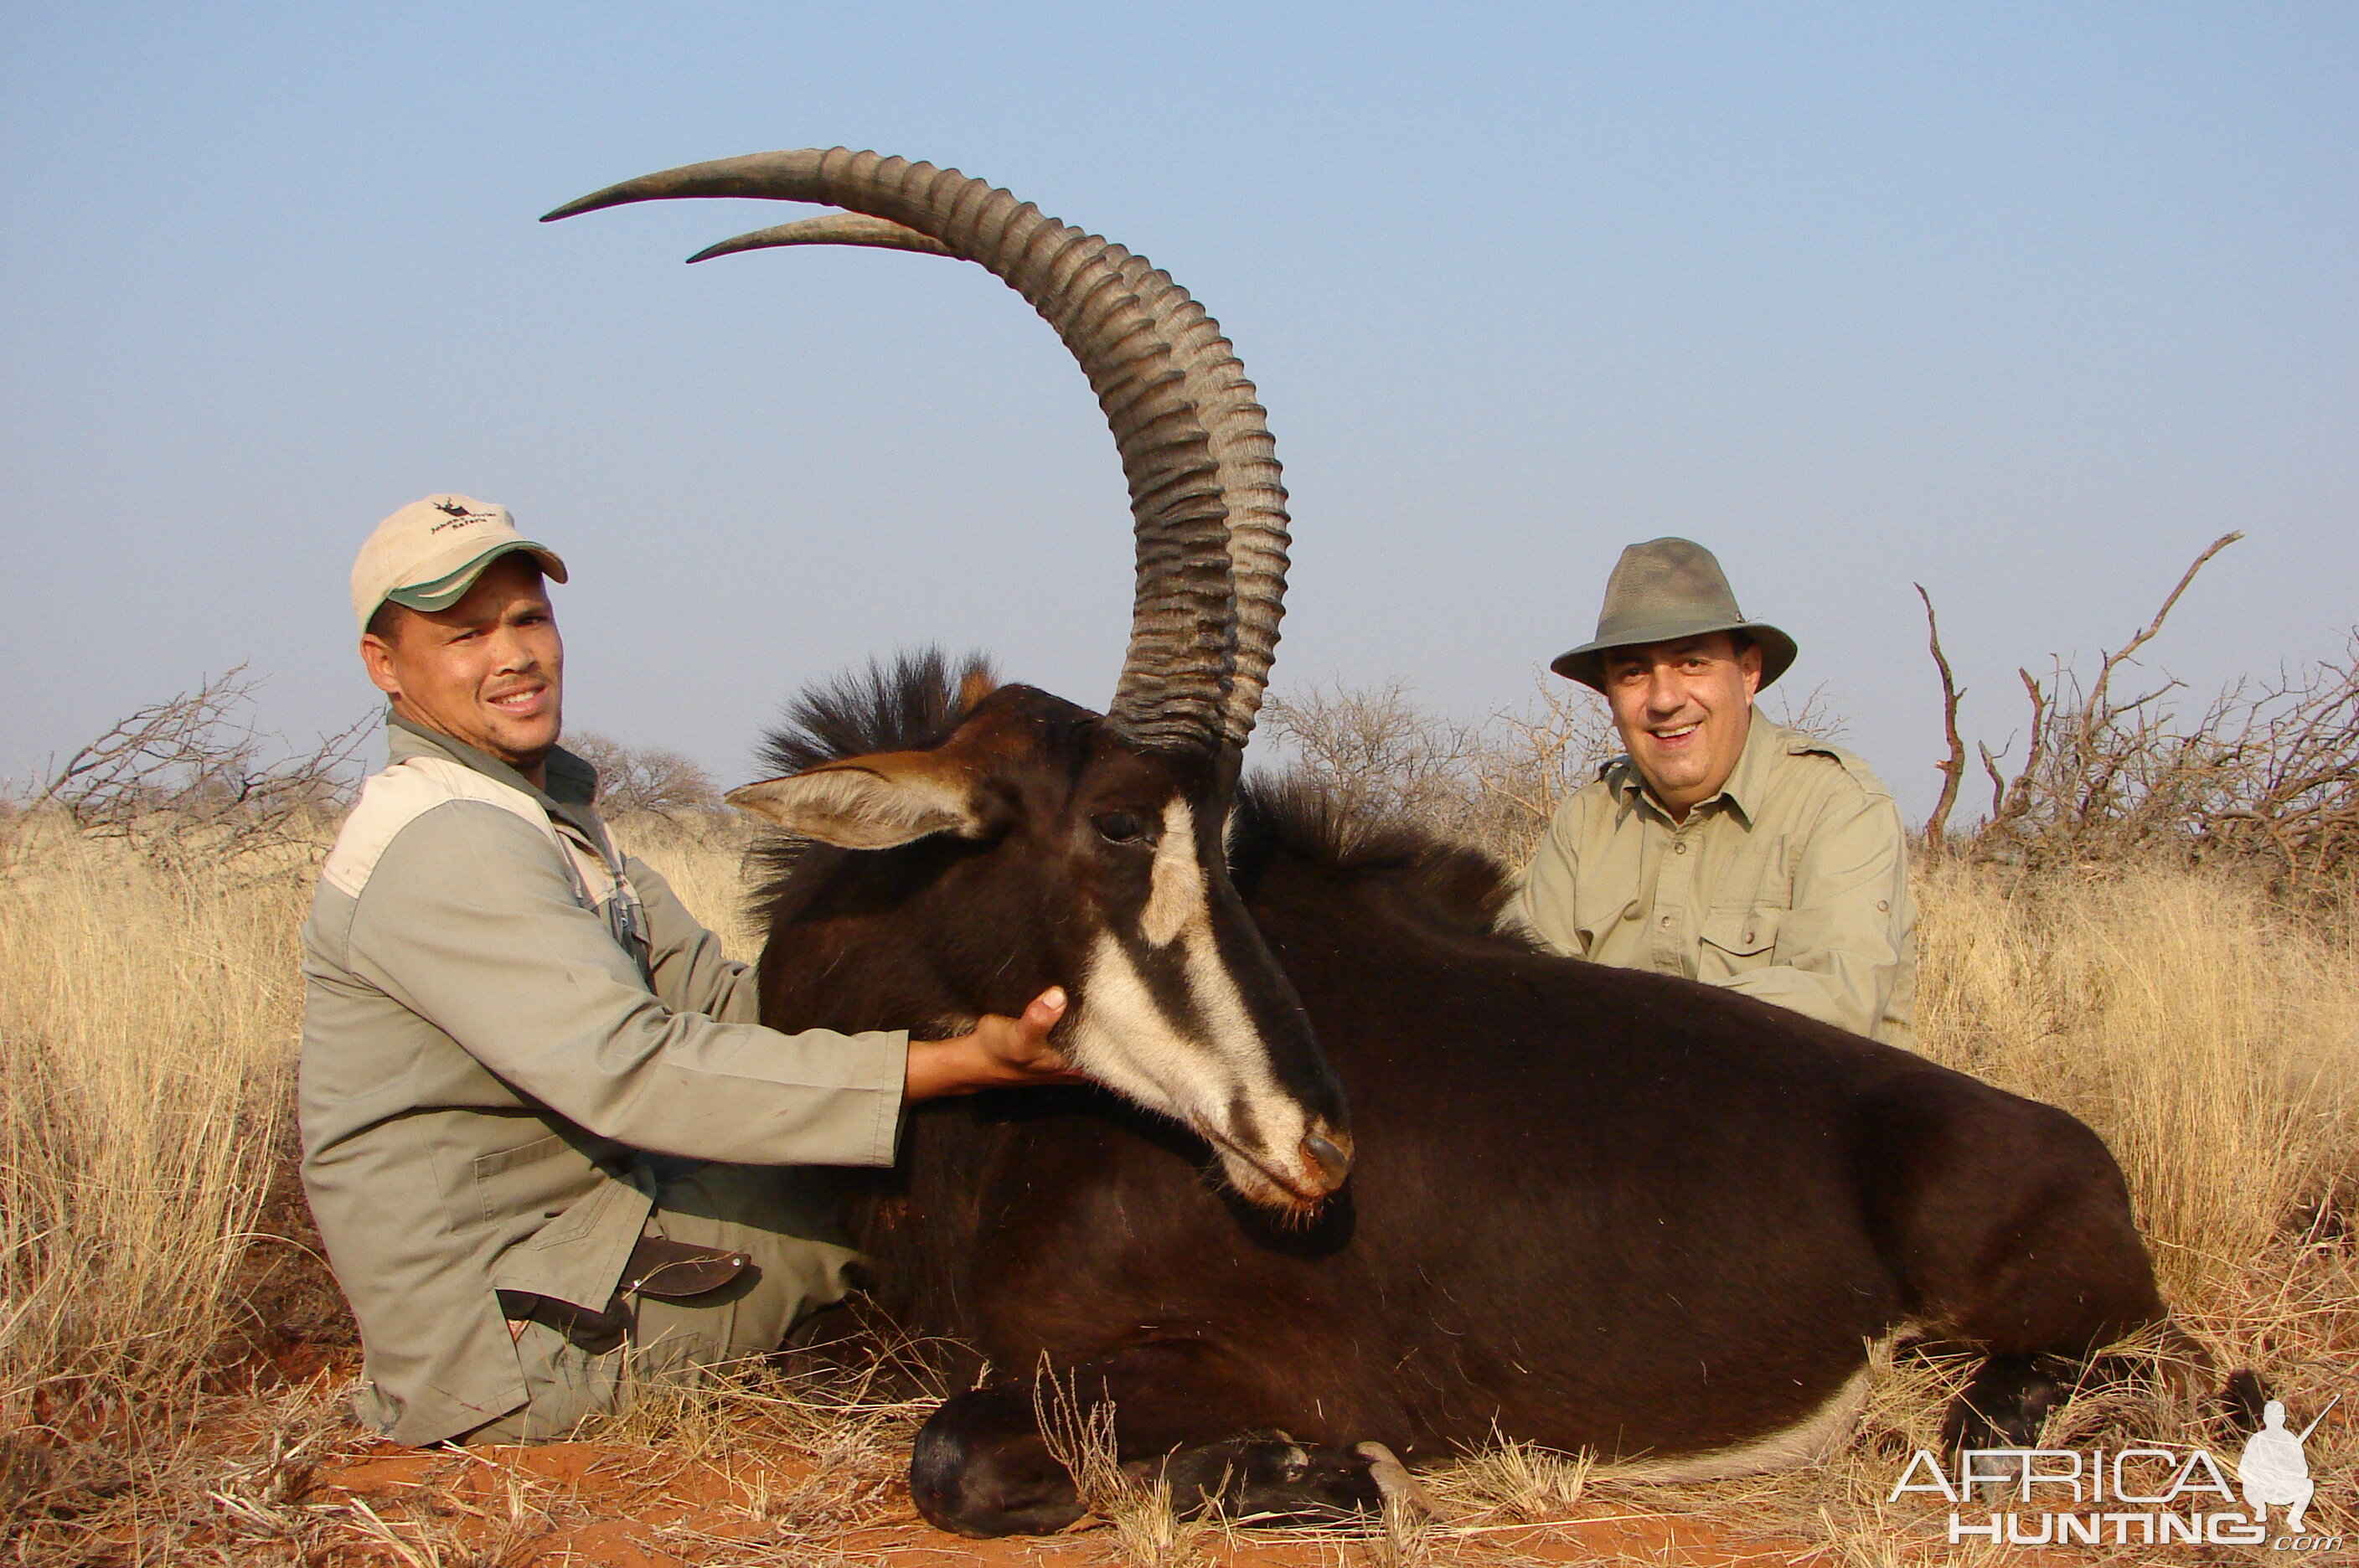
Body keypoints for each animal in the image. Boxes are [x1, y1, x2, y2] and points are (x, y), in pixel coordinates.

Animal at [542, 152, 2198, 1537]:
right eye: (1123, 822)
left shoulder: (1234, 1362)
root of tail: (2077, 1148)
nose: (1322, 1149)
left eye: (1222, 840)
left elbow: (963, 1450)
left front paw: (1349, 1476)